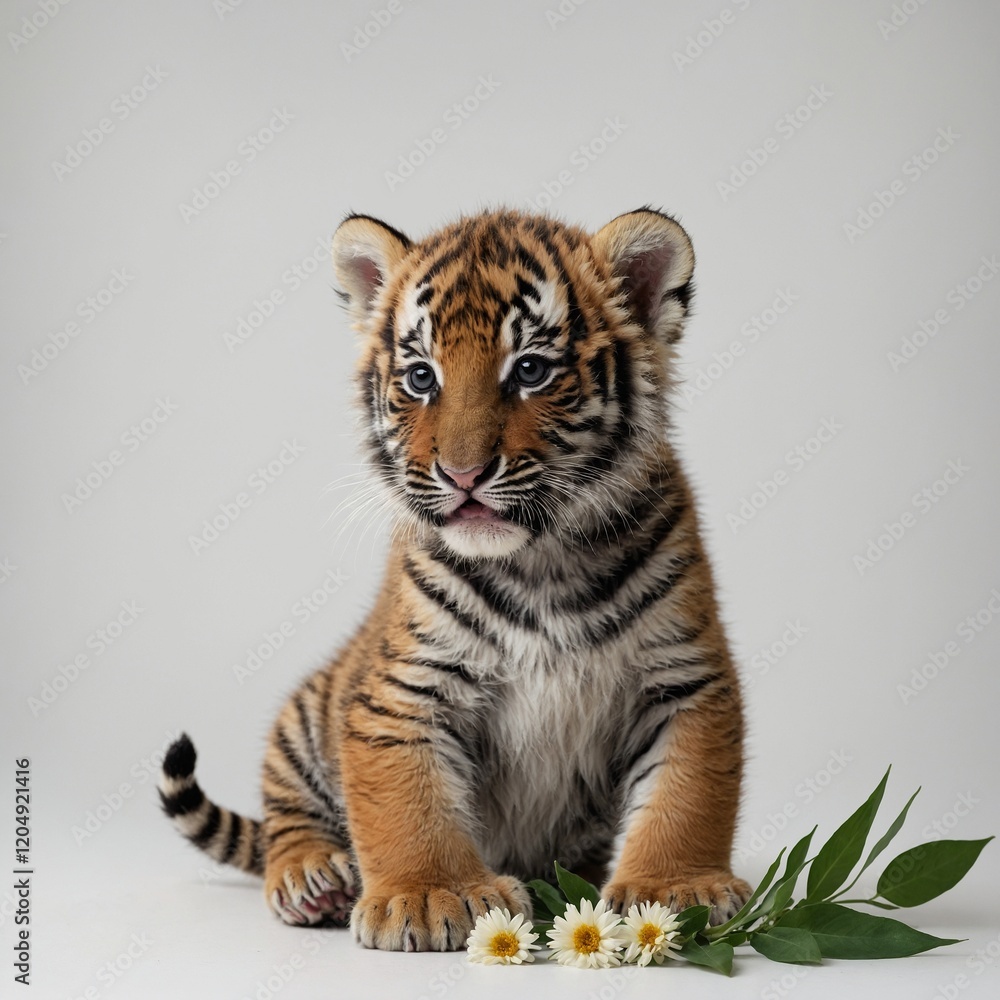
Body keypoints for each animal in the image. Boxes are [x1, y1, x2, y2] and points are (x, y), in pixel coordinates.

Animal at [159, 206, 750, 951]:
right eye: (420, 378)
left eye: (530, 370)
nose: (463, 474)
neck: (542, 563)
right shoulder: (401, 691)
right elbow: (408, 804)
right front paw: (429, 895)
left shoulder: (685, 681)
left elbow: (688, 796)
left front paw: (674, 890)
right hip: (306, 713)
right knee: (287, 814)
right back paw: (312, 877)